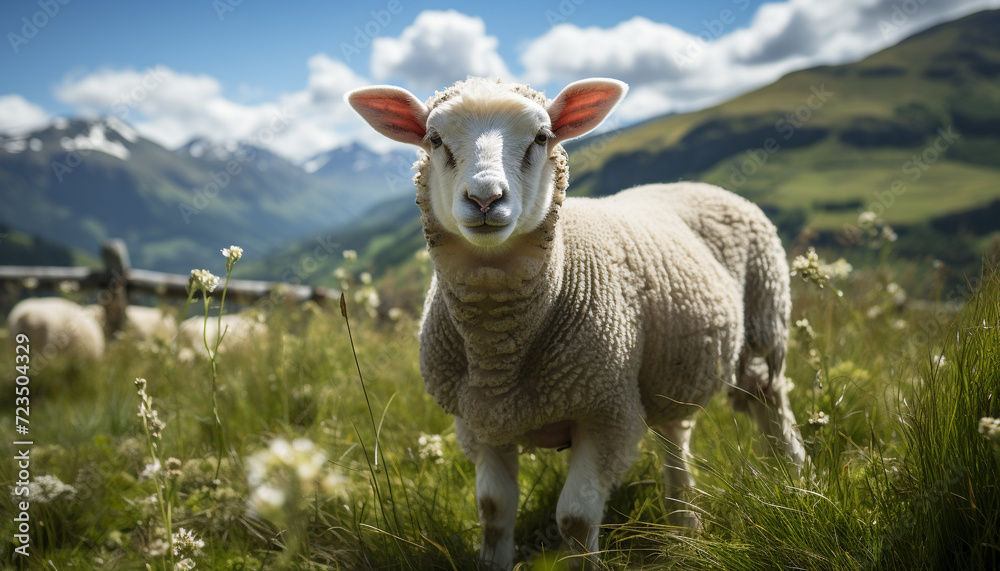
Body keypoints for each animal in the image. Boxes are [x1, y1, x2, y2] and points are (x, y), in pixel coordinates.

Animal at [348, 77, 808, 571]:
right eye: (434, 139)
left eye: (541, 137)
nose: (485, 199)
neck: (498, 355)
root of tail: (694, 185)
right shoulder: (478, 421)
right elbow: (492, 511)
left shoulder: (606, 411)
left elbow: (574, 519)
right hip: (664, 374)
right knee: (674, 437)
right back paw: (686, 528)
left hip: (764, 327)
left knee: (771, 408)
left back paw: (795, 485)